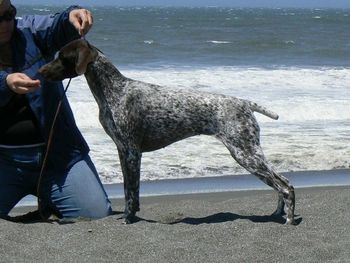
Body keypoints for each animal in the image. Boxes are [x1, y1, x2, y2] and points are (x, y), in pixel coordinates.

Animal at [38, 39, 296, 225]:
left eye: (62, 57)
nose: (40, 71)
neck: (114, 90)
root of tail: (245, 103)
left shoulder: (132, 152)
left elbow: (131, 191)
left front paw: (128, 218)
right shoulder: (123, 151)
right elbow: (129, 189)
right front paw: (131, 214)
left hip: (245, 153)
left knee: (285, 186)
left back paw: (290, 219)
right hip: (250, 152)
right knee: (283, 182)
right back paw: (278, 213)